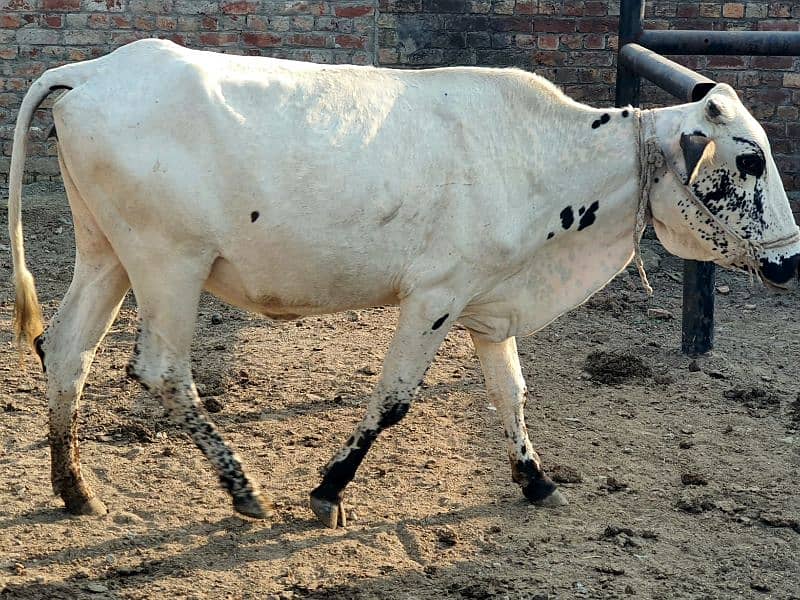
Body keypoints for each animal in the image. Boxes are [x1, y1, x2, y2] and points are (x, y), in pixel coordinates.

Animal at [7, 38, 800, 528]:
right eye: (750, 159)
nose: (790, 262)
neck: (539, 156)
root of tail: (98, 69)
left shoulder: (488, 303)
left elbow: (510, 393)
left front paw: (537, 479)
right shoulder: (435, 297)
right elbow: (392, 401)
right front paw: (327, 490)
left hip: (107, 252)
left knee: (67, 348)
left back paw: (74, 489)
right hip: (169, 262)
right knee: (161, 370)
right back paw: (243, 489)